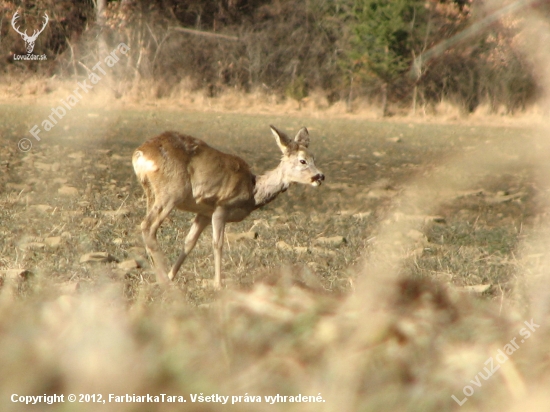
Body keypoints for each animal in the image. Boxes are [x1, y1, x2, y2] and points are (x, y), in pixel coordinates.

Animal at [132, 127, 326, 288]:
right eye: (302, 161)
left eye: (314, 158)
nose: (320, 176)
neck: (252, 192)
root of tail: (140, 154)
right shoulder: (221, 206)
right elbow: (217, 243)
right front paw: (218, 284)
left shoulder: (204, 213)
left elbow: (189, 242)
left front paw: (173, 275)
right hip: (171, 192)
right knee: (147, 226)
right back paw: (163, 279)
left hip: (151, 192)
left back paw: (162, 277)